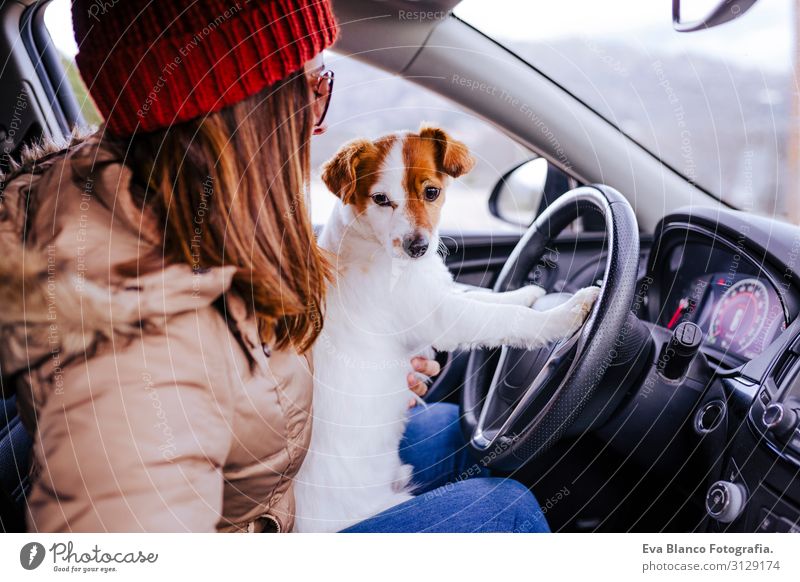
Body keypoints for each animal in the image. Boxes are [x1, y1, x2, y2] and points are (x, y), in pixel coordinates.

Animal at [294, 126, 600, 532]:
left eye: (431, 192)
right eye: (380, 199)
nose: (418, 247)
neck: (373, 244)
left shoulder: (444, 294)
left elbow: (493, 298)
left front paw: (529, 291)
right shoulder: (443, 316)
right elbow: (508, 320)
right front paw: (568, 311)